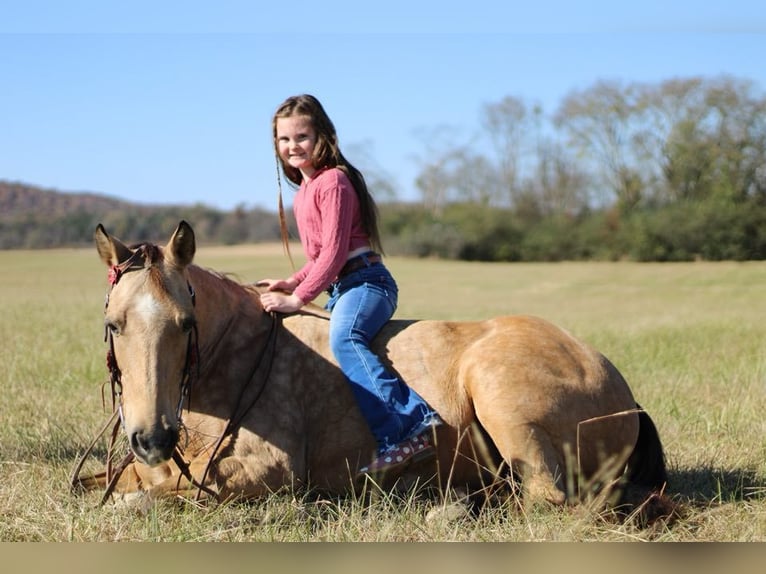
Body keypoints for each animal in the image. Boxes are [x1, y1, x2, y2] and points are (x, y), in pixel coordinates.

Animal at [73, 222, 672, 512]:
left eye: (185, 322)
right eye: (114, 324)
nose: (152, 437)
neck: (234, 357)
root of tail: (621, 389)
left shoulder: (268, 471)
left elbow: (142, 497)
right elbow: (103, 482)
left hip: (500, 398)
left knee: (546, 497)